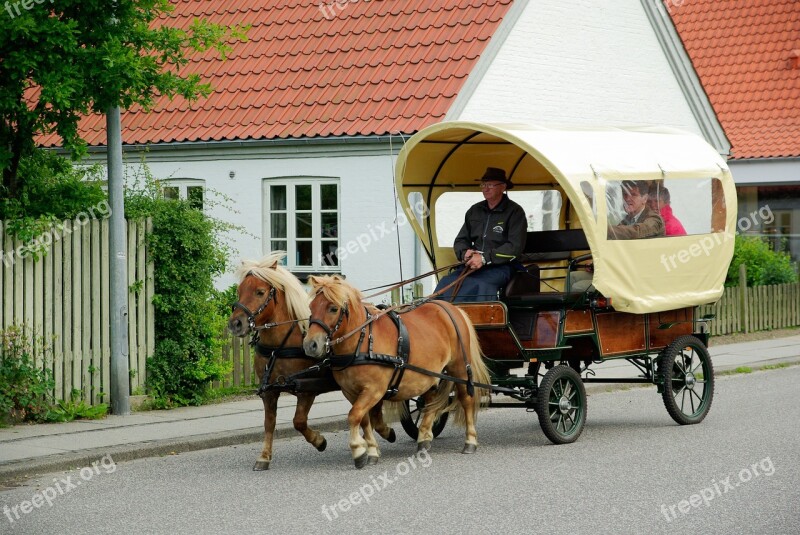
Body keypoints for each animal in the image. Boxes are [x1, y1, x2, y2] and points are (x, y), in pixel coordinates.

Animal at [228, 254, 394, 468]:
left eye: (260, 292)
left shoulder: (307, 389)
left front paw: (319, 441)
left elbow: (298, 421)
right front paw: (264, 456)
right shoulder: (269, 392)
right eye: (239, 290)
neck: (279, 347)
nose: (235, 324)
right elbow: (269, 423)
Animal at [300, 276, 488, 468]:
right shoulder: (351, 392)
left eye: (333, 308)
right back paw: (424, 438)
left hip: (459, 368)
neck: (362, 341)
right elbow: (363, 419)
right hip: (430, 375)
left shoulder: (374, 390)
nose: (310, 345)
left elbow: (354, 416)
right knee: (430, 401)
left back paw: (470, 440)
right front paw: (372, 450)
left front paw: (358, 450)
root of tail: (452, 308)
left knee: (466, 399)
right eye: (311, 307)